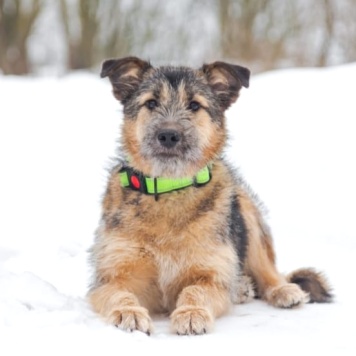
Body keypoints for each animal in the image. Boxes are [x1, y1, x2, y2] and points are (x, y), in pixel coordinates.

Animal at [87, 57, 332, 336]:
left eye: (195, 105)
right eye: (151, 103)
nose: (168, 135)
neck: (171, 188)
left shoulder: (211, 275)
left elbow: (195, 290)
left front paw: (191, 313)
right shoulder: (110, 275)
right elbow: (119, 293)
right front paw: (128, 312)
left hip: (248, 214)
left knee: (268, 270)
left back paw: (279, 289)